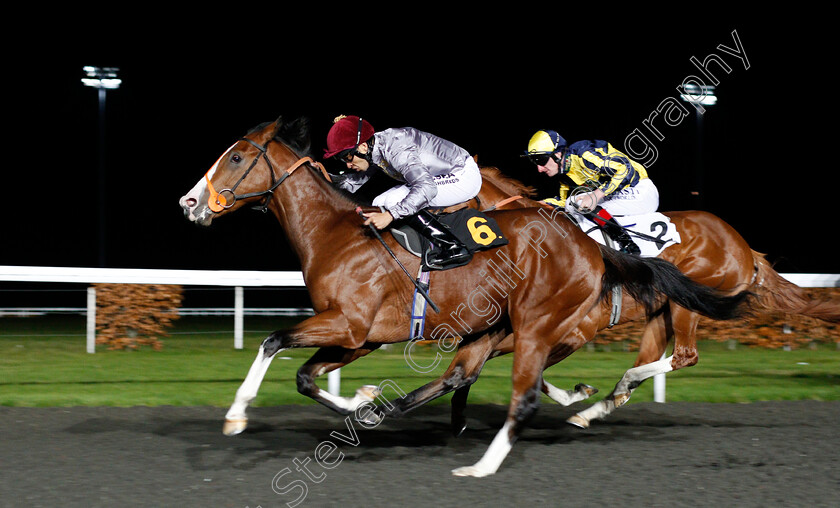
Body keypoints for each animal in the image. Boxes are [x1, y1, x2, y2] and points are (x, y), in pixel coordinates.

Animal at [180, 117, 752, 478]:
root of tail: (591, 246)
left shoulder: (350, 323)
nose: (189, 202)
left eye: (235, 157)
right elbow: (305, 376)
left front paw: (237, 415)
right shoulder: (360, 336)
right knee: (466, 374)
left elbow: (274, 341)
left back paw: (488, 458)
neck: (336, 234)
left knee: (544, 387)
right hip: (505, 324)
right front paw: (364, 402)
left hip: (549, 321)